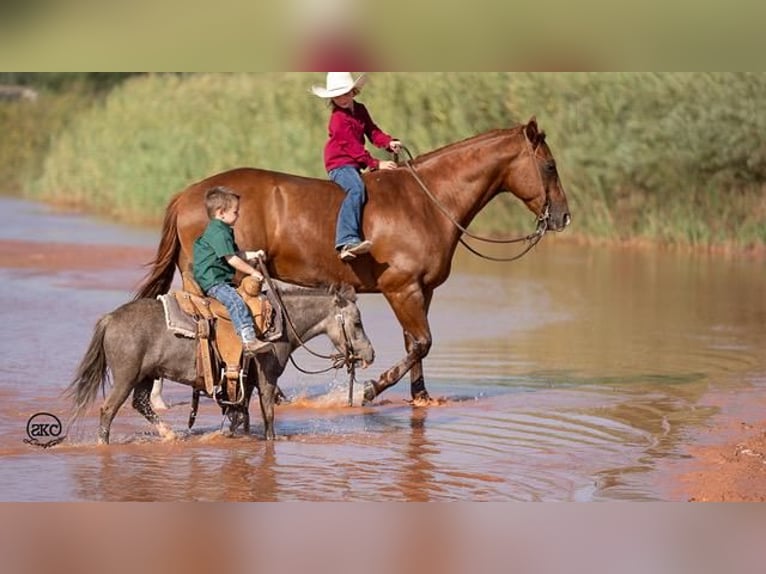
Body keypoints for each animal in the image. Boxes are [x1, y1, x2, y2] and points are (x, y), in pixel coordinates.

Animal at [69, 282, 376, 444]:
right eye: (357, 323)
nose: (370, 355)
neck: (279, 325)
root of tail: (110, 318)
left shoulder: (245, 382)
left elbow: (241, 415)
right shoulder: (267, 379)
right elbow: (267, 414)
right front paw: (270, 441)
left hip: (146, 376)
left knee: (141, 403)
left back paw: (169, 434)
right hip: (126, 377)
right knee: (108, 410)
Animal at [136, 117, 568, 404]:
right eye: (549, 166)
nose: (563, 217)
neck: (426, 202)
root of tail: (188, 194)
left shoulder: (421, 291)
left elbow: (415, 343)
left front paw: (420, 396)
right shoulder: (401, 289)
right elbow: (422, 342)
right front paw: (371, 388)